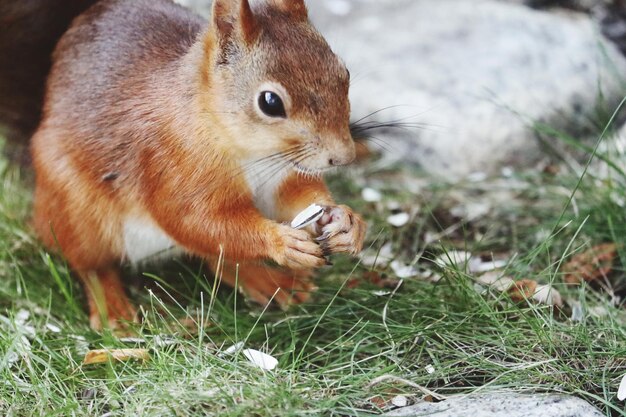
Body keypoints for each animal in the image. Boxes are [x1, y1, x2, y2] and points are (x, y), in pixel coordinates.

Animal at [11, 0, 366, 330]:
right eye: (270, 102)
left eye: (344, 74)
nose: (344, 156)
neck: (250, 153)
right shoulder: (168, 161)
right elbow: (194, 221)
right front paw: (281, 242)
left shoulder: (281, 173)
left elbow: (296, 195)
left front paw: (346, 222)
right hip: (76, 213)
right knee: (91, 266)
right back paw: (113, 310)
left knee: (219, 260)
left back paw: (271, 282)